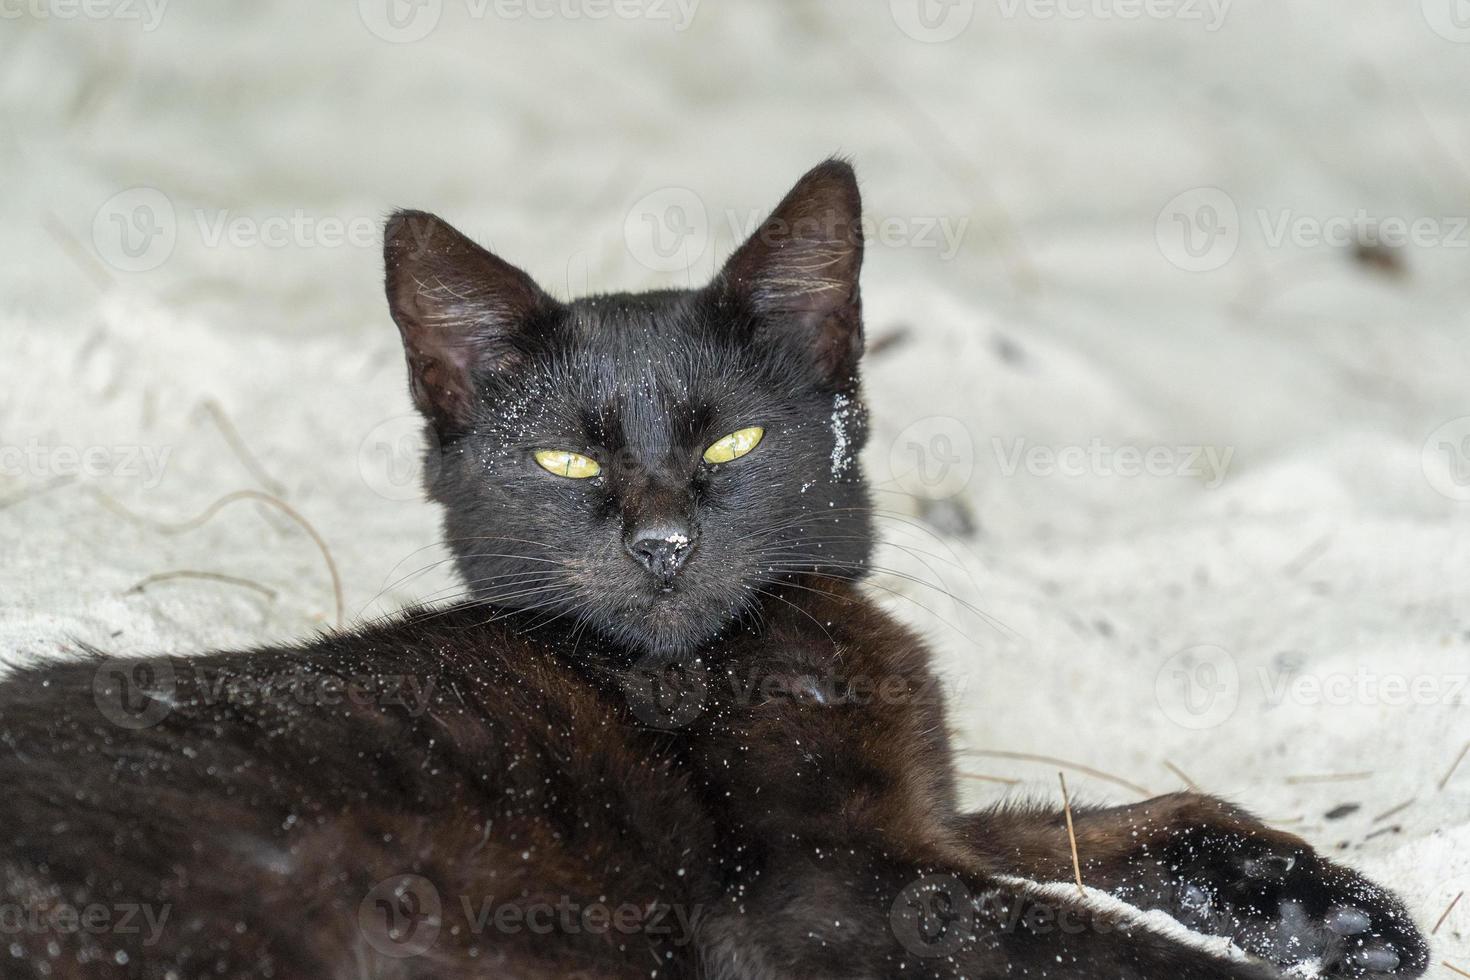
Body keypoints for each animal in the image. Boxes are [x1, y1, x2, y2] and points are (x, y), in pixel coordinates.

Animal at [0, 160, 1422, 980]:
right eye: (569, 462)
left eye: (732, 441)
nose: (661, 542)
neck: (749, 654)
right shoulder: (829, 890)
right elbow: (1071, 928)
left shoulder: (922, 817)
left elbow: (1120, 817)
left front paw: (1328, 905)